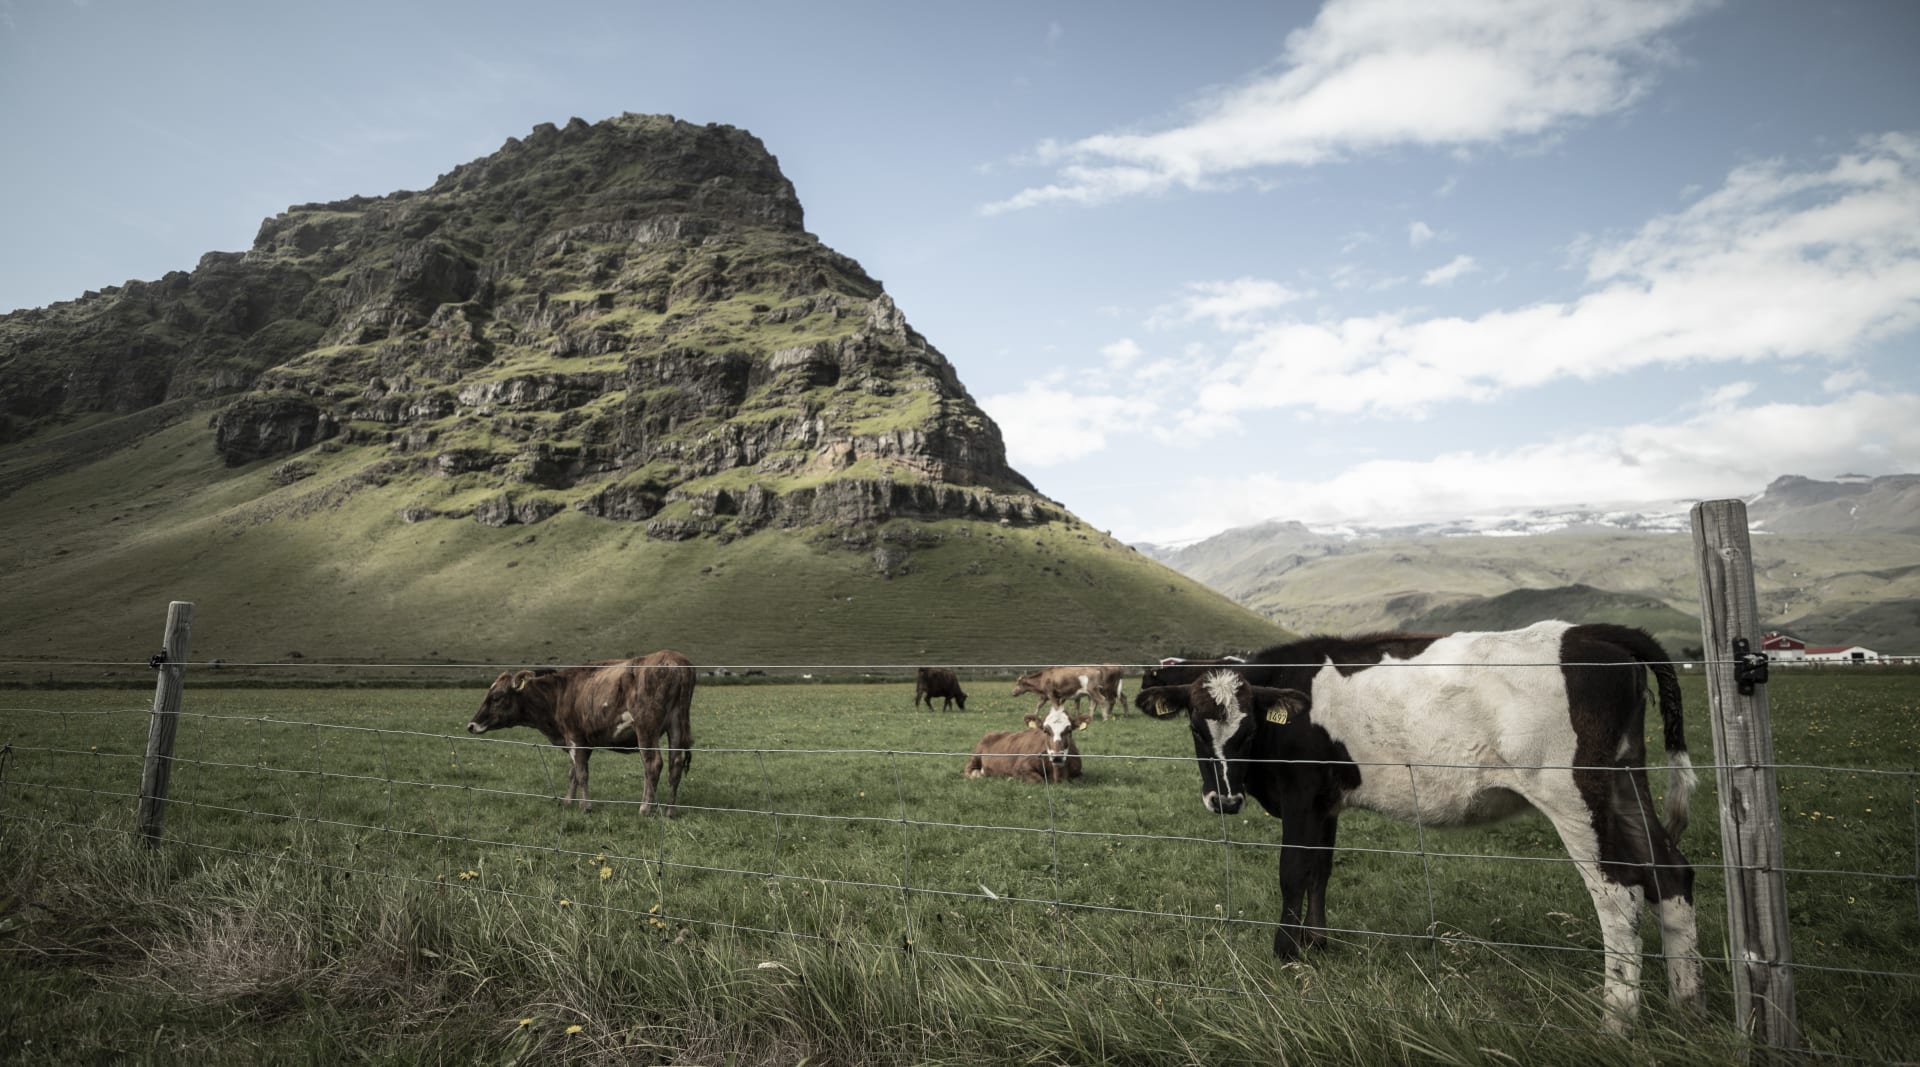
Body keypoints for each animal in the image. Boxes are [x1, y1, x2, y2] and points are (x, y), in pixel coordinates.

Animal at [464, 648, 698, 817]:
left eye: (496, 697)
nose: (471, 725)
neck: (559, 694)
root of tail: (674, 659)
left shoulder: (574, 737)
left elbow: (582, 773)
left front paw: (585, 806)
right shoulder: (584, 741)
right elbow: (574, 772)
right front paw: (568, 801)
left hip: (646, 728)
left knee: (653, 765)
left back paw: (645, 808)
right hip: (676, 725)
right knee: (675, 764)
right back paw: (670, 810)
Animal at [960, 710, 1098, 782]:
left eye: (1069, 730)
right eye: (1045, 730)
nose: (1057, 756)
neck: (1057, 774)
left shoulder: (1078, 772)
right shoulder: (1020, 767)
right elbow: (1039, 779)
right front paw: (1011, 778)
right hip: (976, 755)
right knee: (969, 770)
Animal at [1128, 621, 1704, 1028]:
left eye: (1247, 730)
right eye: (1196, 728)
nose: (1223, 799)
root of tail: (1593, 631)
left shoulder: (1301, 797)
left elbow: (1292, 871)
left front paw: (1286, 955)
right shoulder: (1325, 804)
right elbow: (1320, 872)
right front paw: (1317, 945)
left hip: (1573, 793)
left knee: (1620, 891)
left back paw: (1616, 1021)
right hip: (1625, 780)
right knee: (1670, 873)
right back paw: (1686, 1004)